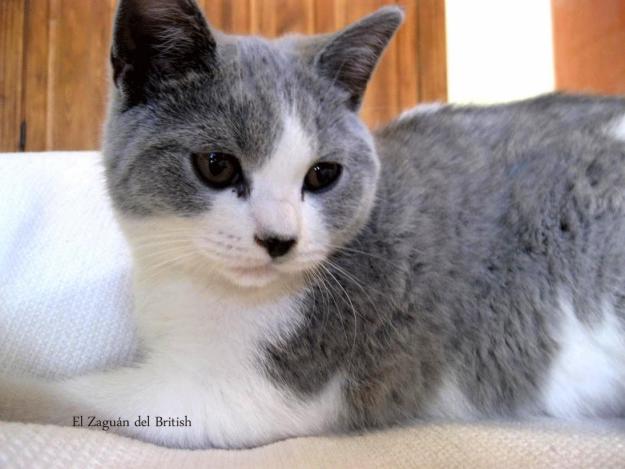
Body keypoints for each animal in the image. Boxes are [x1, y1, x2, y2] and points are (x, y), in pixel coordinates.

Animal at [1, 0, 624, 450]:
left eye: (323, 175)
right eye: (217, 165)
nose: (279, 239)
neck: (197, 285)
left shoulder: (246, 389)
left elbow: (70, 395)